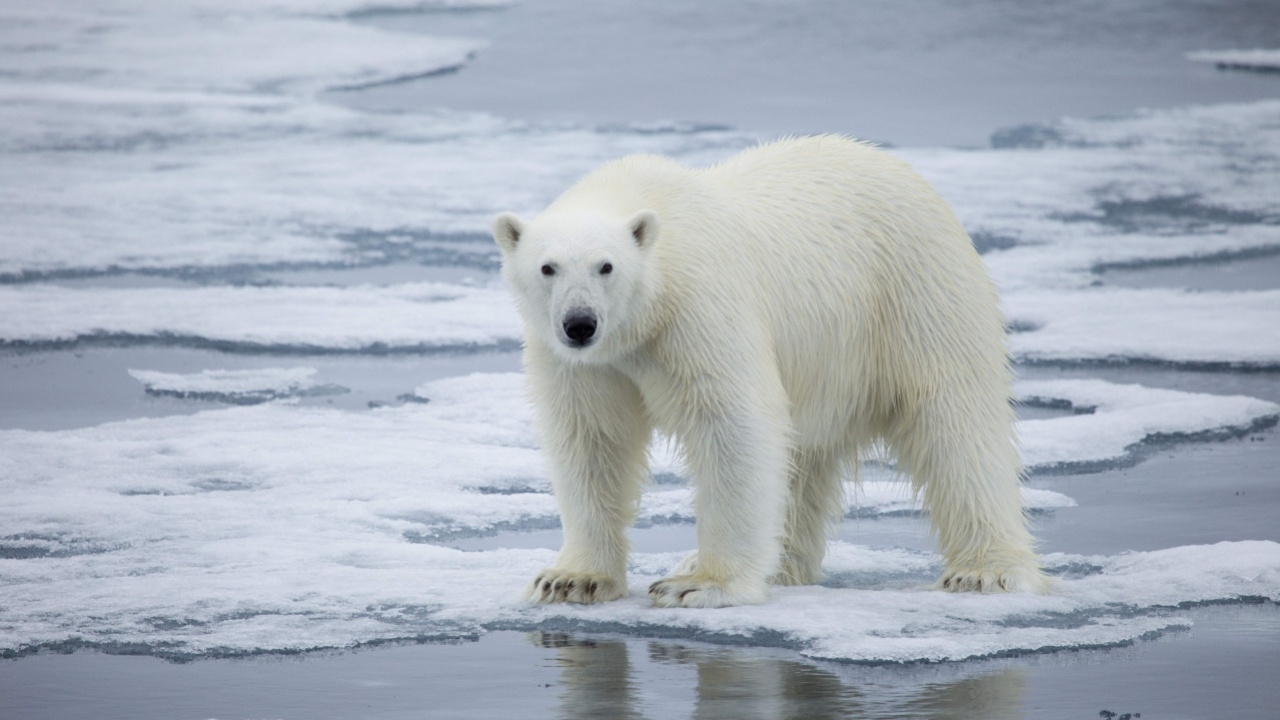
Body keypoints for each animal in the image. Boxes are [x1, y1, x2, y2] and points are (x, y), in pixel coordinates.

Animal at [494, 134, 1044, 604]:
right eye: (547, 268)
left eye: (606, 266)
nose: (579, 324)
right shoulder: (583, 363)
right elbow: (590, 438)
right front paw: (571, 579)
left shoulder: (699, 309)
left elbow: (732, 425)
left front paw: (699, 584)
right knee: (802, 459)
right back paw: (780, 565)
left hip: (914, 295)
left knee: (954, 422)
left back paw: (984, 571)